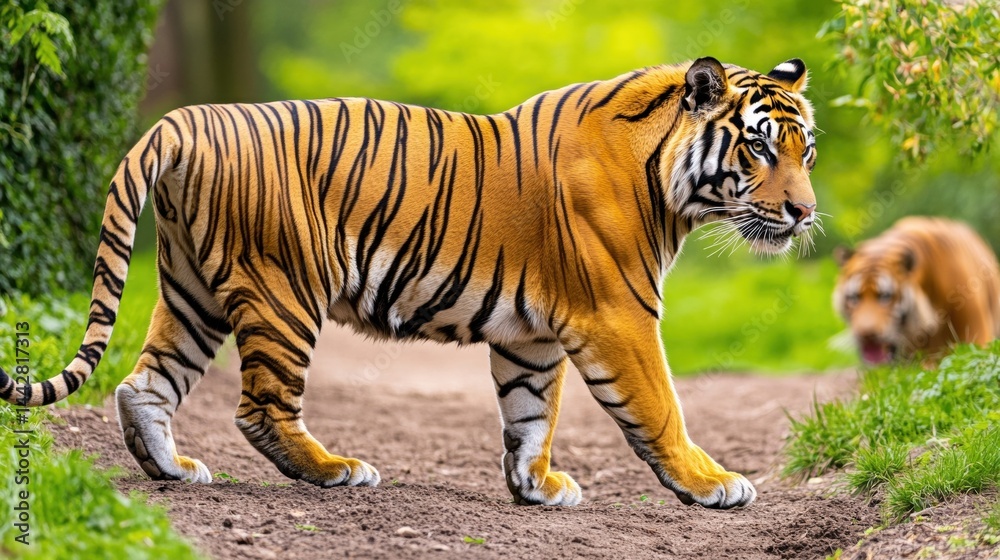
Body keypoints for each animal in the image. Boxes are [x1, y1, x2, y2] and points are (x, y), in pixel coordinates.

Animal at [0, 56, 818, 509]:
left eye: (805, 150)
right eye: (758, 147)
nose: (805, 212)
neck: (670, 185)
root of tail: (185, 120)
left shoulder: (534, 337)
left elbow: (531, 415)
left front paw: (536, 487)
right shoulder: (619, 314)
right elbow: (660, 409)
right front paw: (713, 484)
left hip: (192, 291)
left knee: (144, 384)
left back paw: (172, 469)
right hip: (284, 289)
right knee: (259, 408)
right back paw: (338, 470)